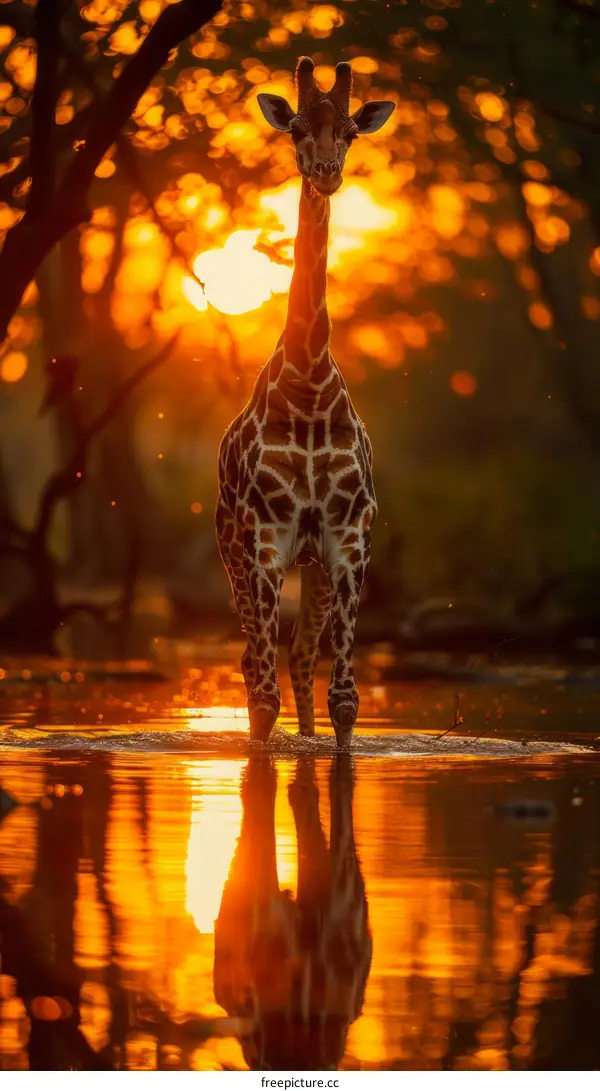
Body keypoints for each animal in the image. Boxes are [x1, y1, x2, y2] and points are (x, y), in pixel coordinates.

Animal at [216, 57, 395, 747]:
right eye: (294, 129)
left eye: (349, 132)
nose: (325, 172)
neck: (312, 382)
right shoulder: (268, 539)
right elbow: (261, 702)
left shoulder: (348, 540)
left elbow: (346, 700)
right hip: (233, 549)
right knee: (253, 662)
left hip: (313, 565)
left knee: (297, 653)